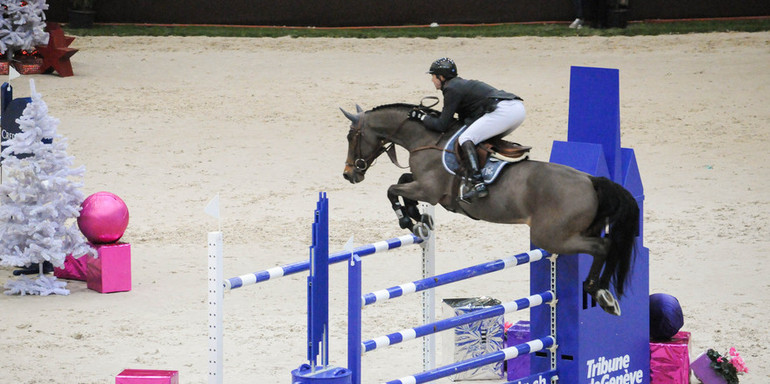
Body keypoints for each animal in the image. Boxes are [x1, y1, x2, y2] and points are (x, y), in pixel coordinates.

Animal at [340, 103, 640, 316]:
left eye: (351, 136)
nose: (349, 175)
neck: (425, 139)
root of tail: (591, 180)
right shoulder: (423, 187)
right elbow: (401, 182)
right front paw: (419, 217)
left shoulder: (429, 190)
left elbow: (392, 189)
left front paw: (410, 221)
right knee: (608, 246)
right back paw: (605, 294)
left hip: (552, 237)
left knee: (603, 247)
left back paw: (598, 292)